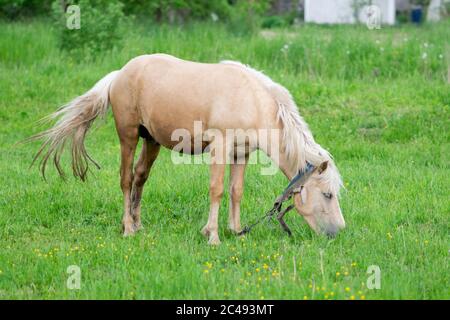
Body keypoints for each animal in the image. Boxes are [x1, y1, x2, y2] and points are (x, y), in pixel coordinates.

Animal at [31, 54, 344, 245]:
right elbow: (217, 190)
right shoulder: (220, 147)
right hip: (128, 136)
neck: (252, 102)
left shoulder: (241, 153)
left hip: (151, 141)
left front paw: (235, 231)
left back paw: (138, 224)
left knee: (140, 178)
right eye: (327, 194)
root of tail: (121, 73)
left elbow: (236, 191)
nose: (339, 232)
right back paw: (128, 228)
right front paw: (213, 236)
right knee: (126, 179)